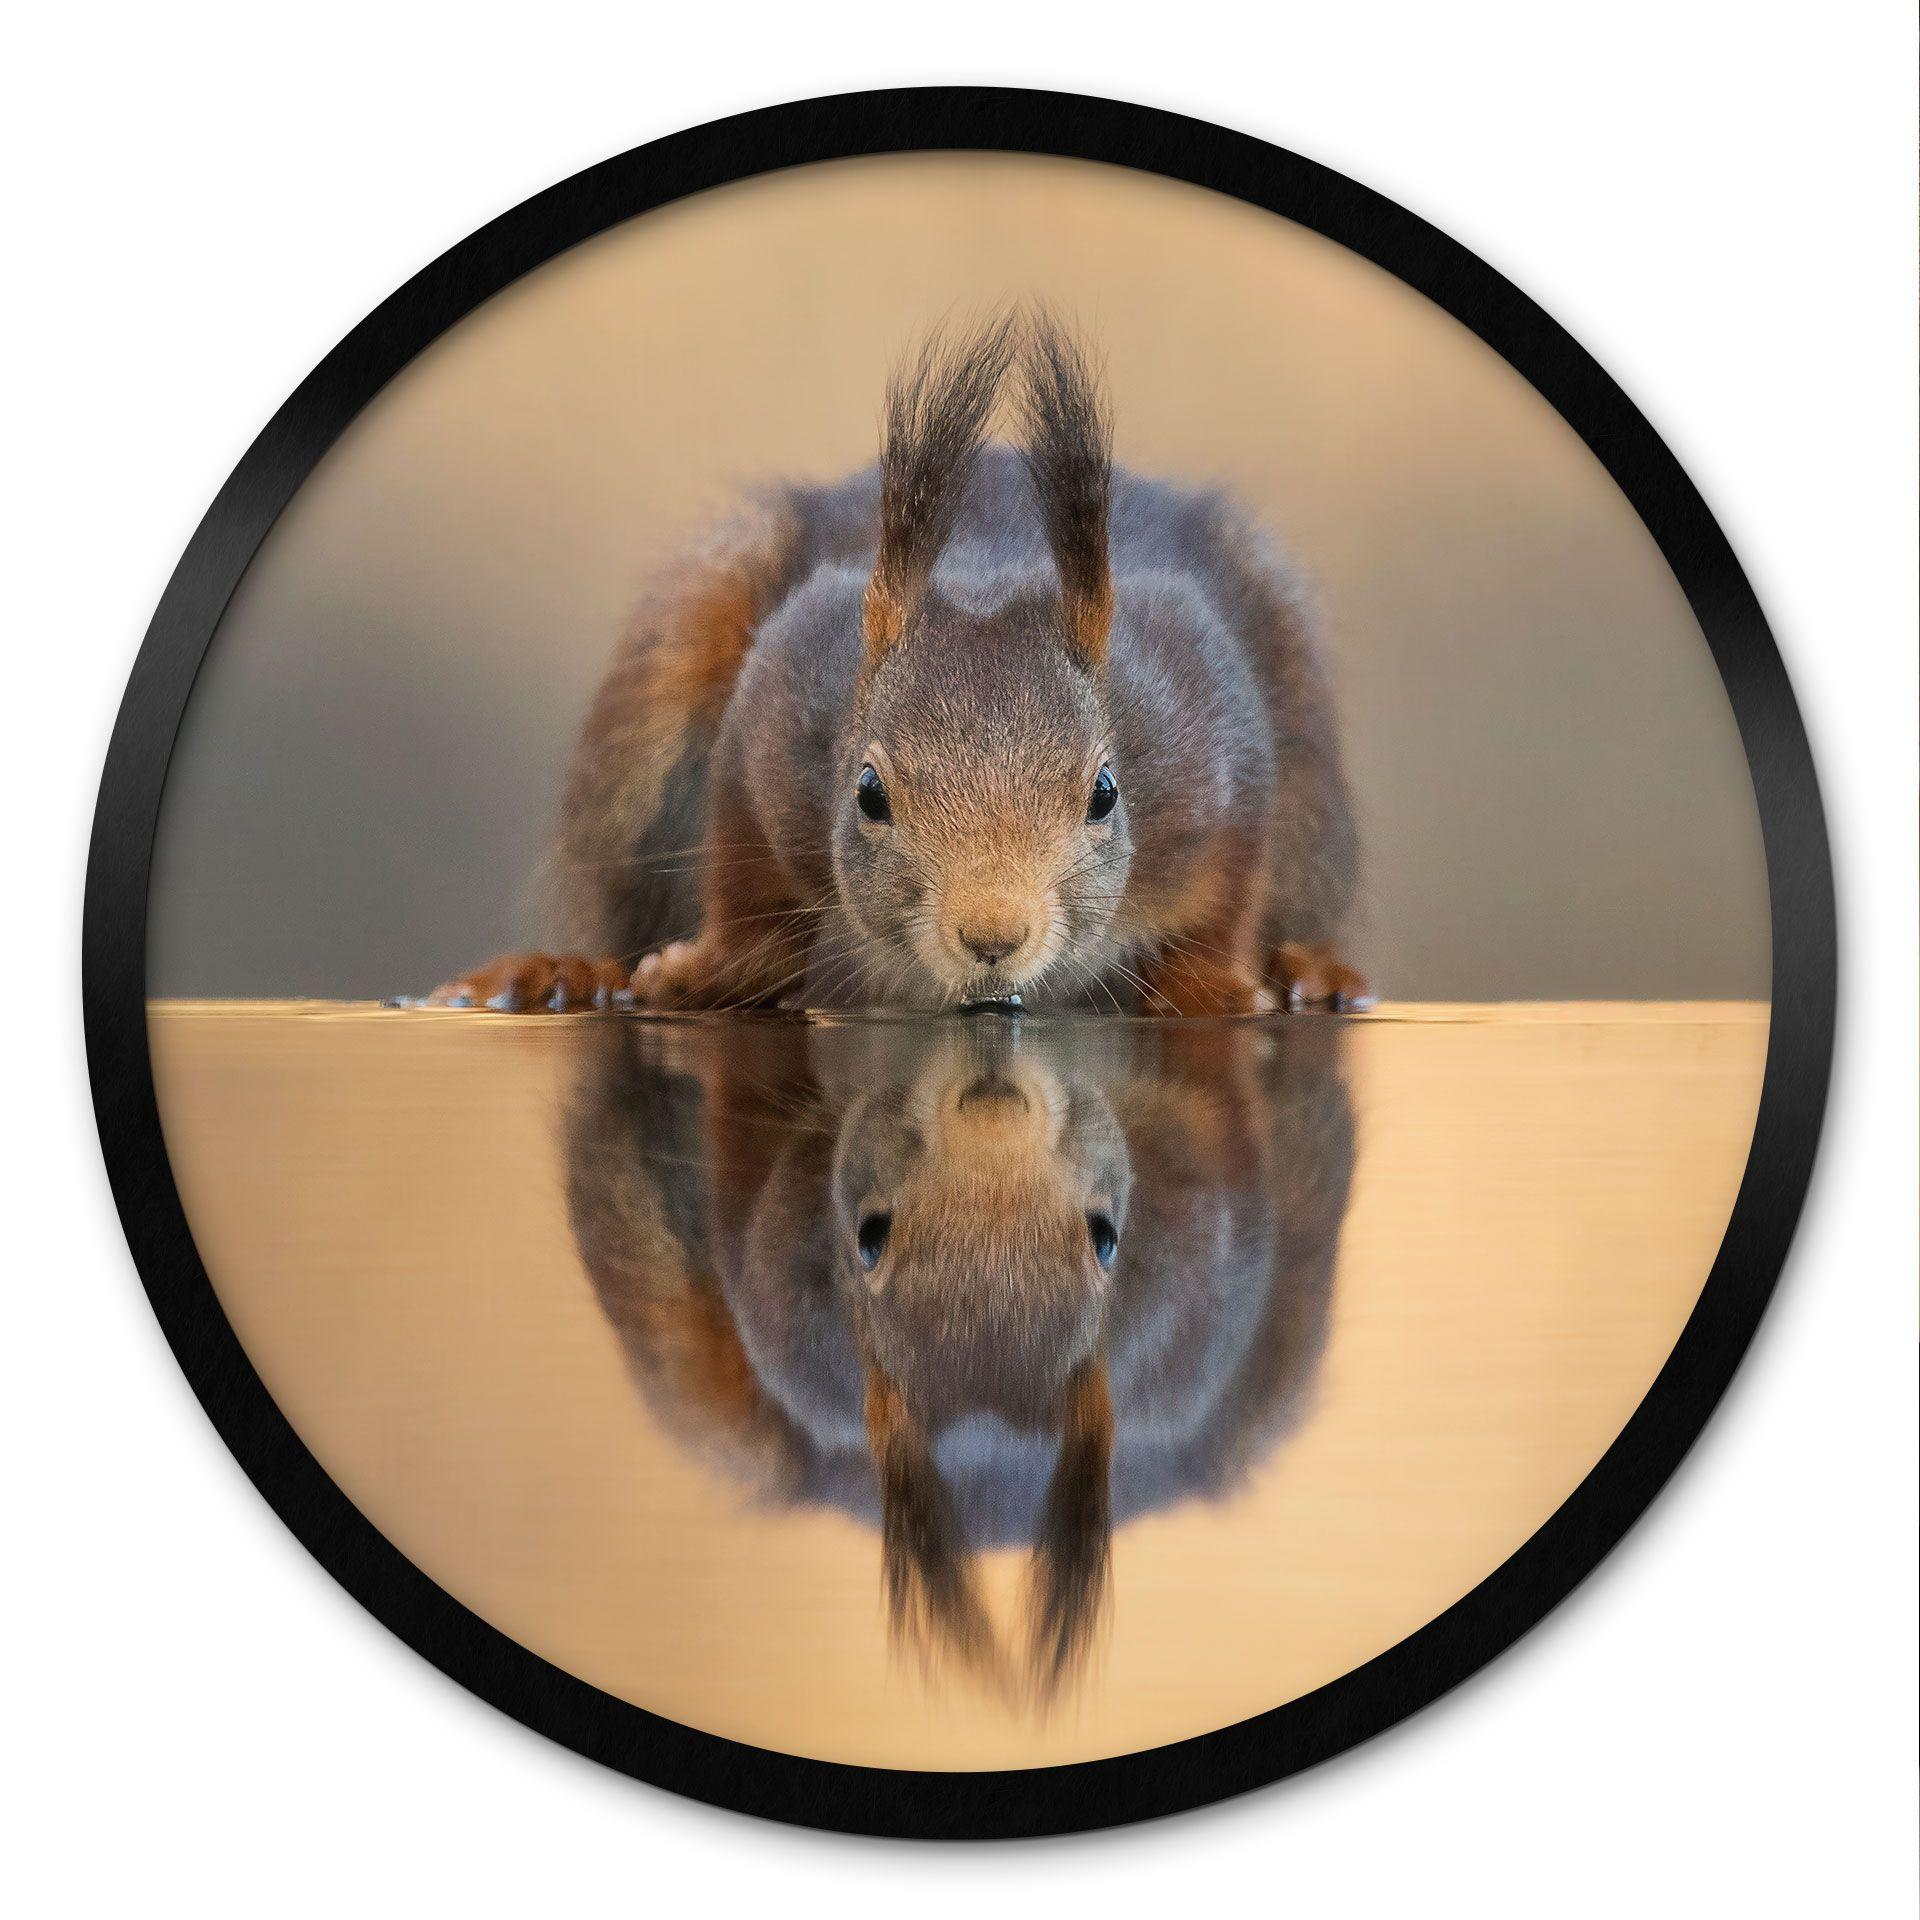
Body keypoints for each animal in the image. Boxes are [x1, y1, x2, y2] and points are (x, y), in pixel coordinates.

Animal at [432, 313, 1368, 1016]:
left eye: (1105, 793)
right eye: (869, 794)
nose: (991, 937)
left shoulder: (1209, 730)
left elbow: (1228, 894)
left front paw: (1216, 987)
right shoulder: (780, 707)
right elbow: (745, 884)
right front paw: (707, 971)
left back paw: (1311, 972)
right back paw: (563, 975)